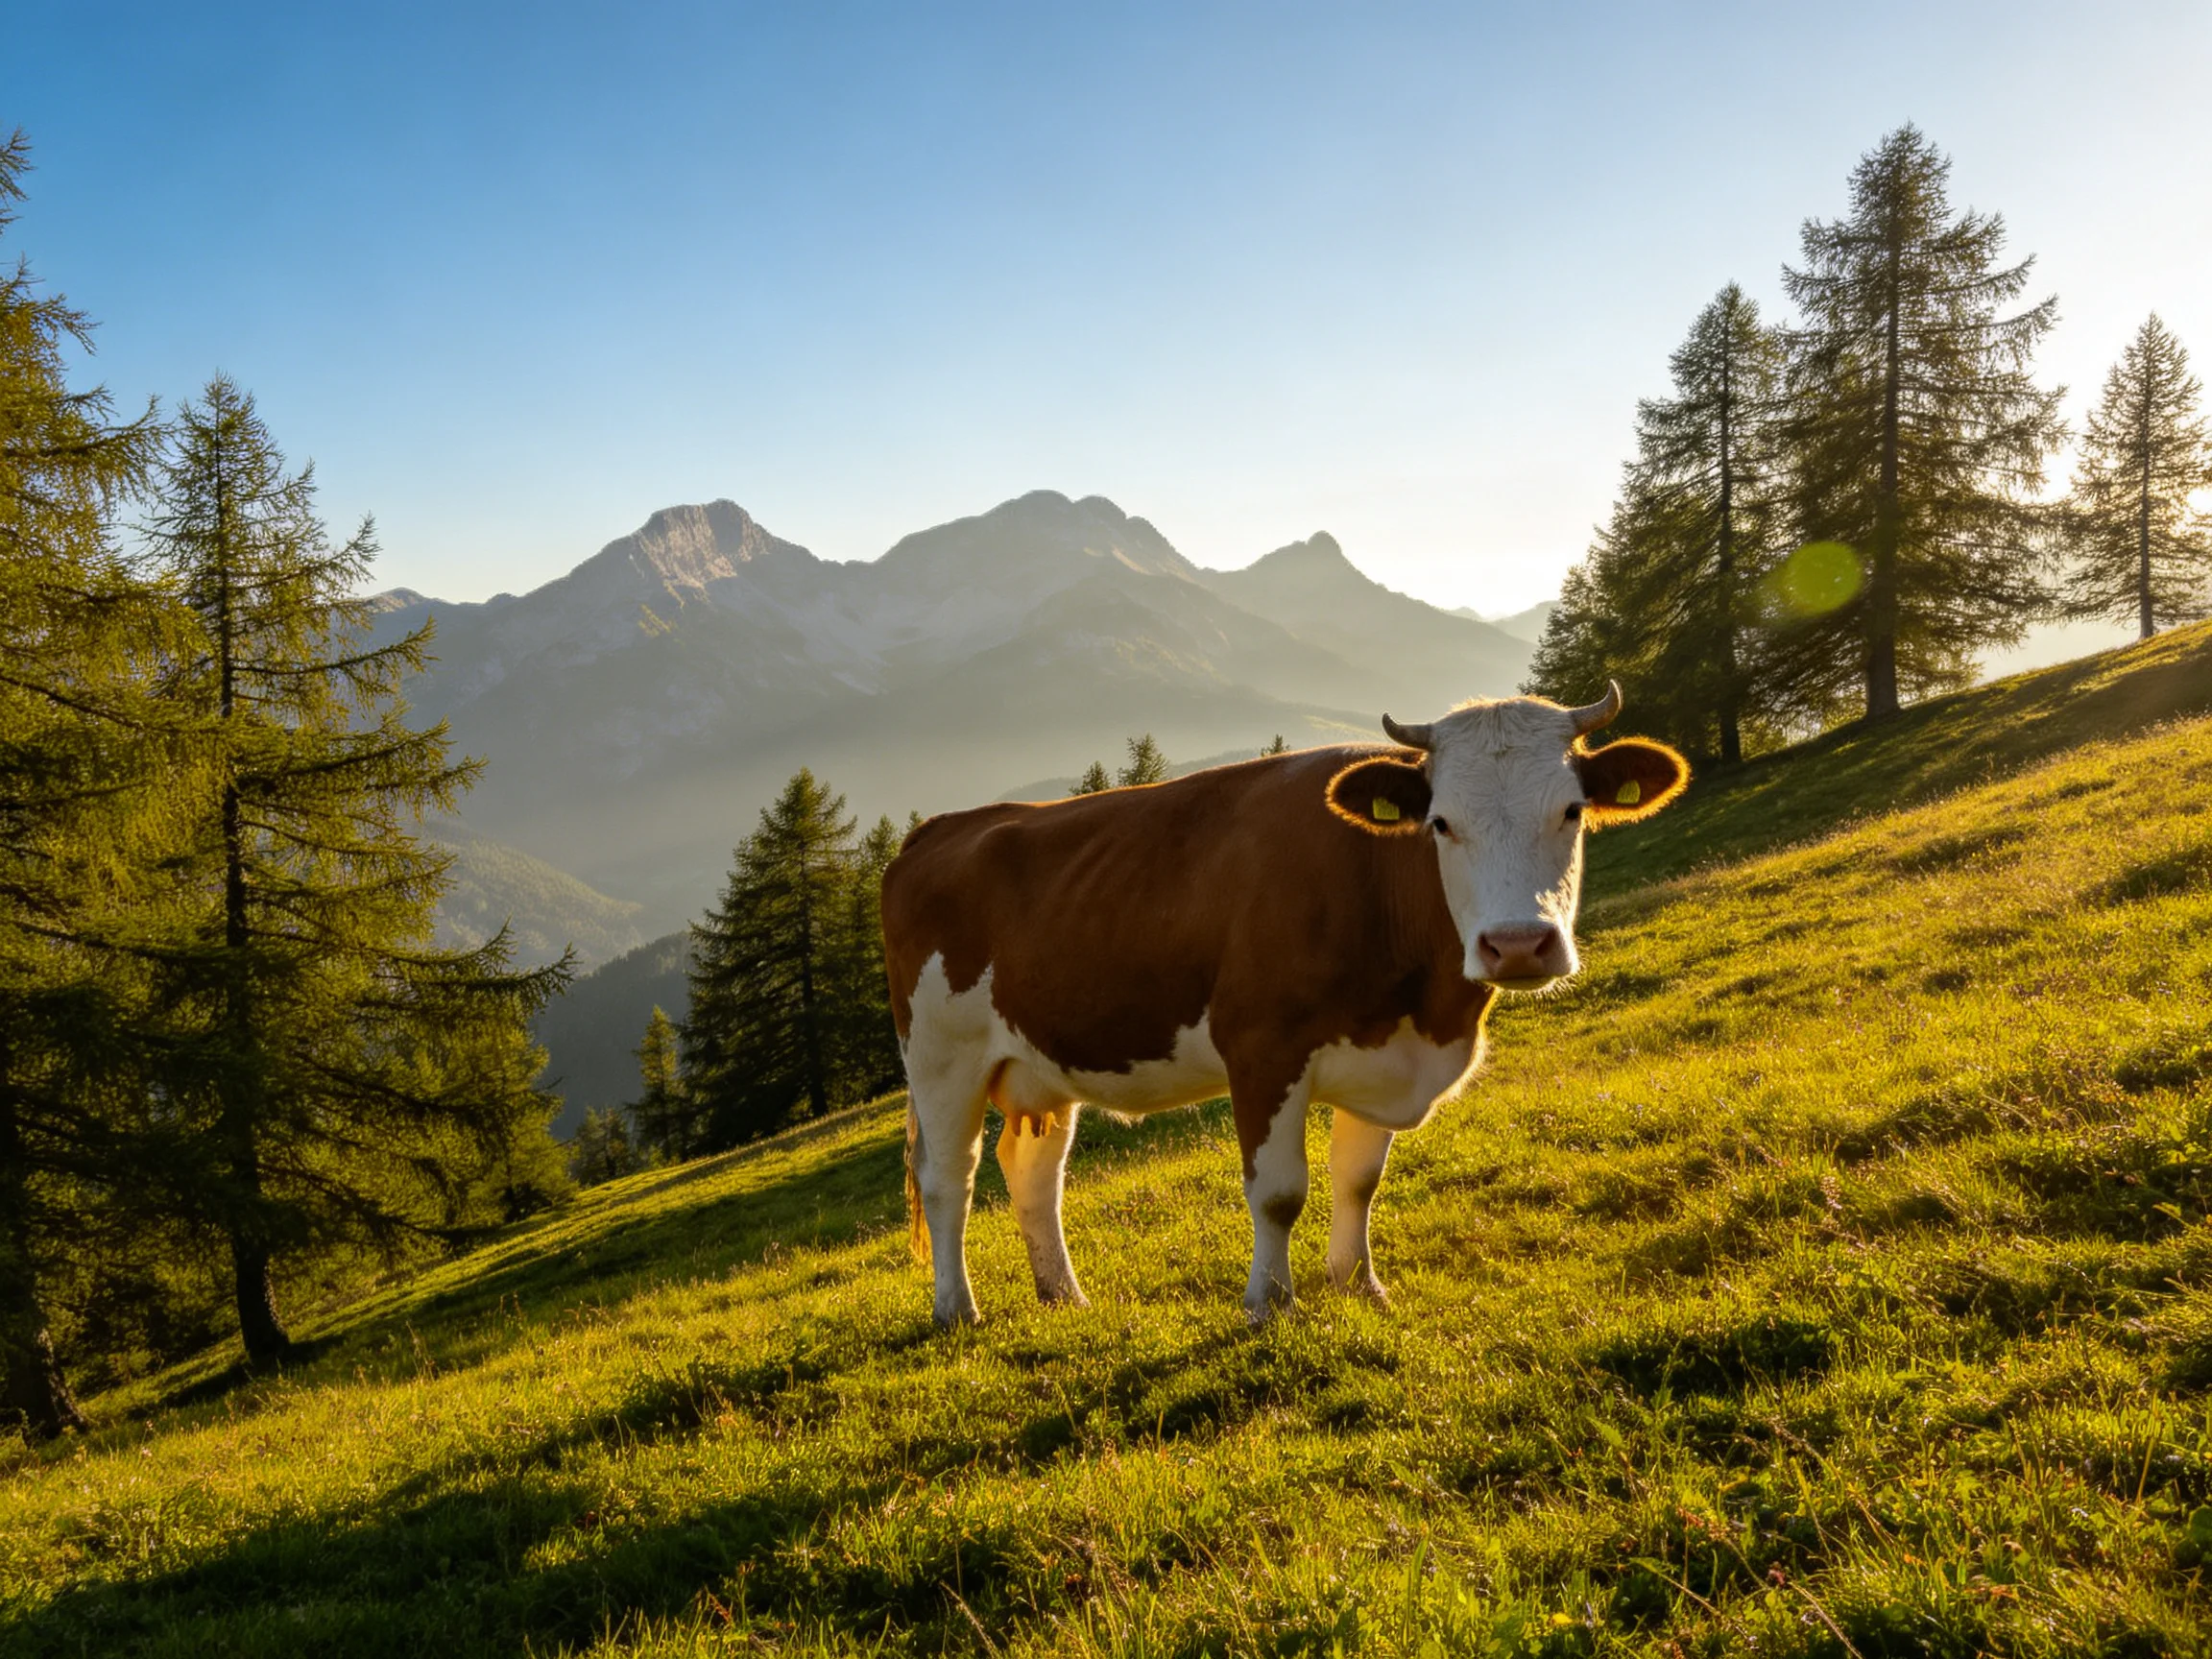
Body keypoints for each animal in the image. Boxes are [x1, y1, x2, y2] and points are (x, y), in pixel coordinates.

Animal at [880, 683, 1688, 1327]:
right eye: (1441, 823)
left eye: (1573, 810)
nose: (1517, 945)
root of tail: (940, 828)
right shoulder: (1262, 1047)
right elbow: (1277, 1192)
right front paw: (1270, 1303)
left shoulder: (1384, 1048)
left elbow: (1359, 1179)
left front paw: (1360, 1285)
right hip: (942, 1057)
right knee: (949, 1179)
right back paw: (956, 1310)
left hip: (1040, 1060)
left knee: (1033, 1172)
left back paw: (1064, 1297)